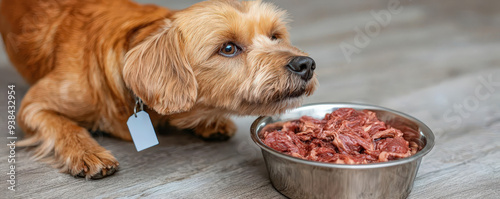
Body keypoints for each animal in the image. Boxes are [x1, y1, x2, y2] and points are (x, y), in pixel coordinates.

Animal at [0, 0, 316, 179]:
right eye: (228, 48)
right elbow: (66, 127)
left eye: (275, 36)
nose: (306, 64)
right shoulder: (32, 106)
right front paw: (87, 152)